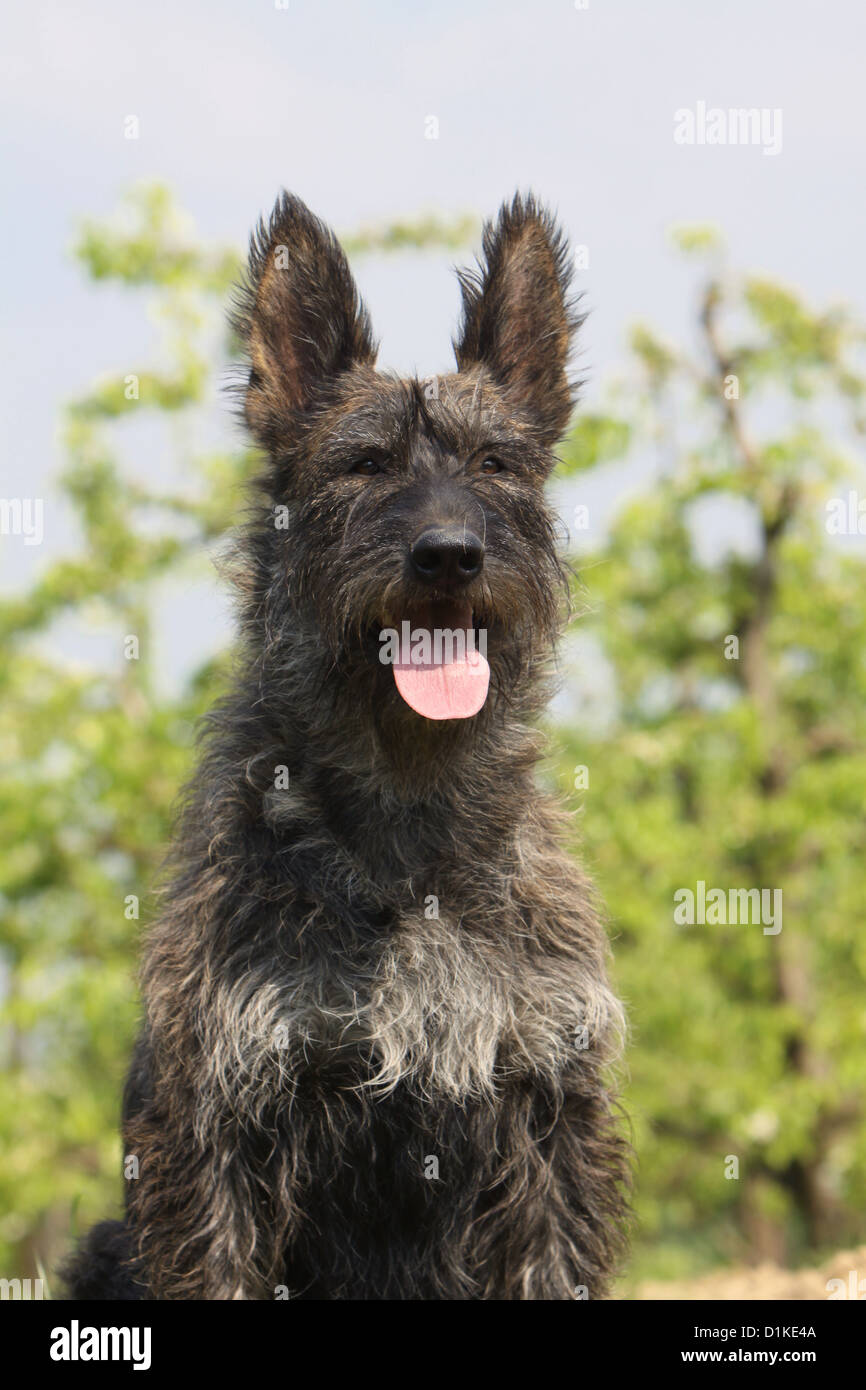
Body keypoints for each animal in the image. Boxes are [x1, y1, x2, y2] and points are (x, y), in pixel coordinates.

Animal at [62, 190, 631, 1295]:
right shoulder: (219, 1126)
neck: (405, 838)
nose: (448, 555)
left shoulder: (546, 1108)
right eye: (362, 465)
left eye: (495, 464)